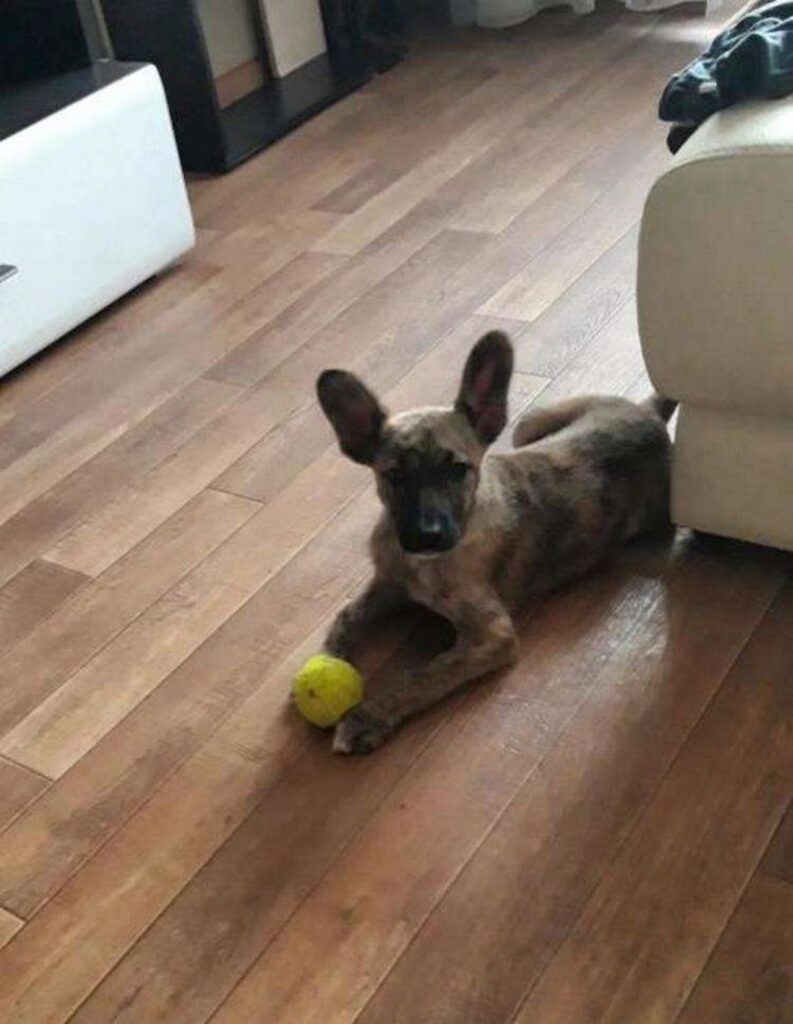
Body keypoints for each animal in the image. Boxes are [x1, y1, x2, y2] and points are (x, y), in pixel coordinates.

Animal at [317, 329, 676, 753]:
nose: (427, 536)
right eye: (394, 475)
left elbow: (425, 675)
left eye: (458, 470)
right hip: (529, 425)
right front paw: (330, 657)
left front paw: (367, 717)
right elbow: (346, 615)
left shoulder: (494, 636)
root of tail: (649, 414)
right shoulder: (389, 585)